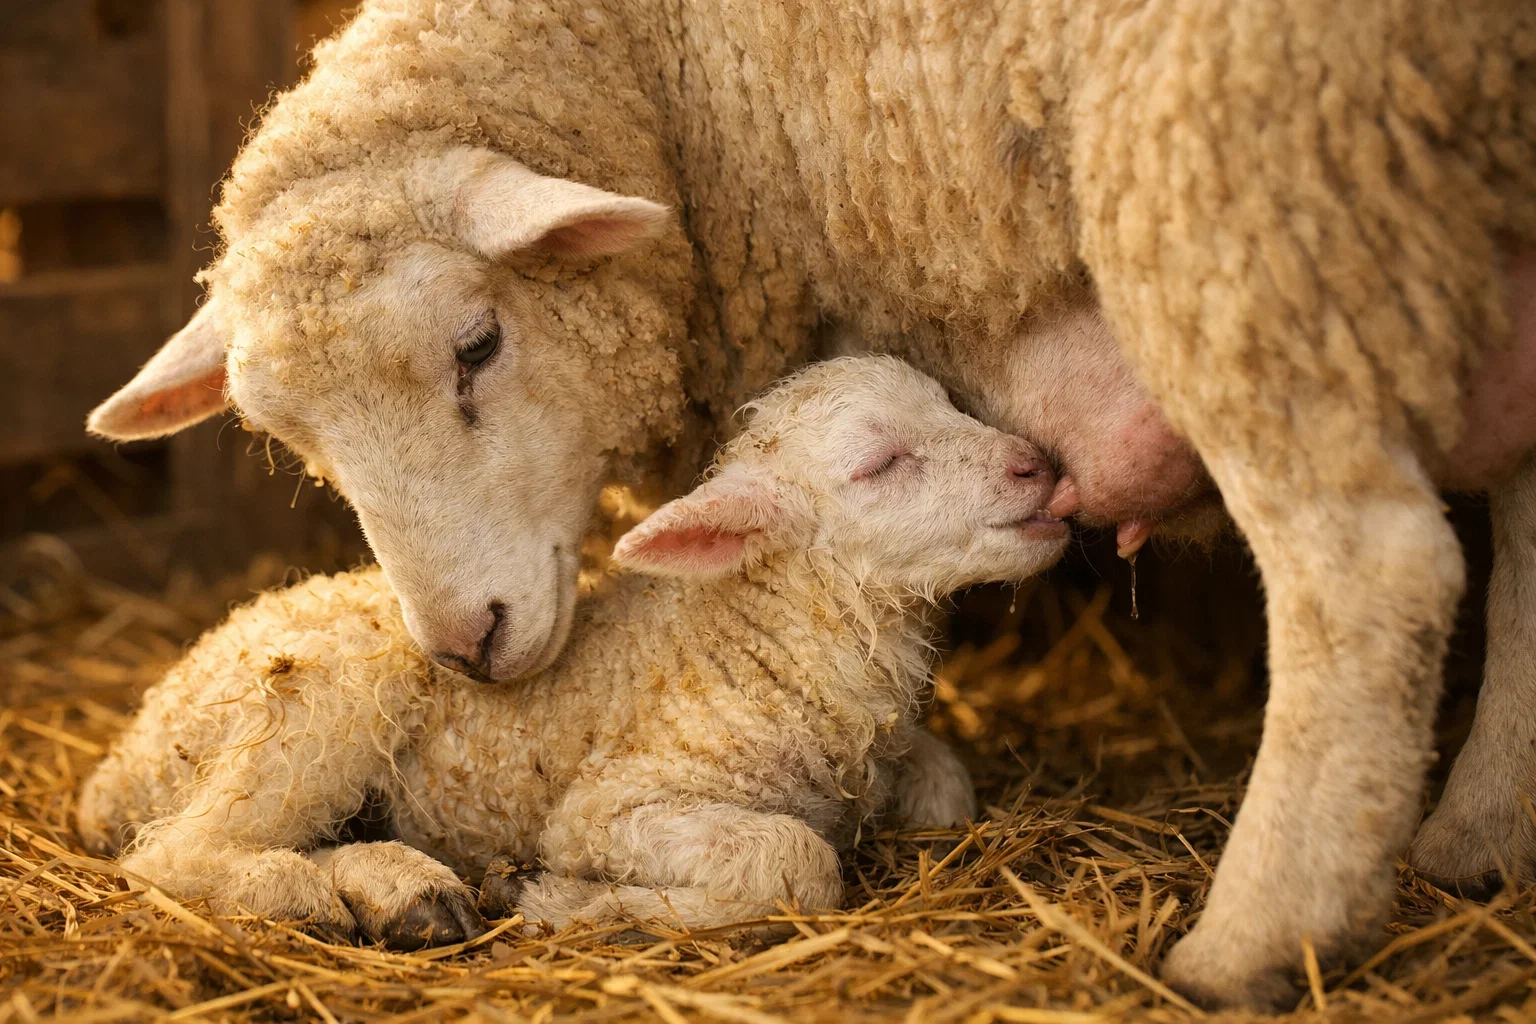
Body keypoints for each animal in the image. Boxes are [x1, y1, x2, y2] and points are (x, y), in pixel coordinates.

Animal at [78, 356, 1070, 947]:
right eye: (879, 464)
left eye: (949, 403)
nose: (1041, 467)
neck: (758, 641)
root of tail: (122, 755)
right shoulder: (612, 805)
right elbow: (792, 862)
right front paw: (583, 905)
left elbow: (946, 789)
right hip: (321, 704)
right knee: (173, 856)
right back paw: (308, 894)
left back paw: (407, 892)